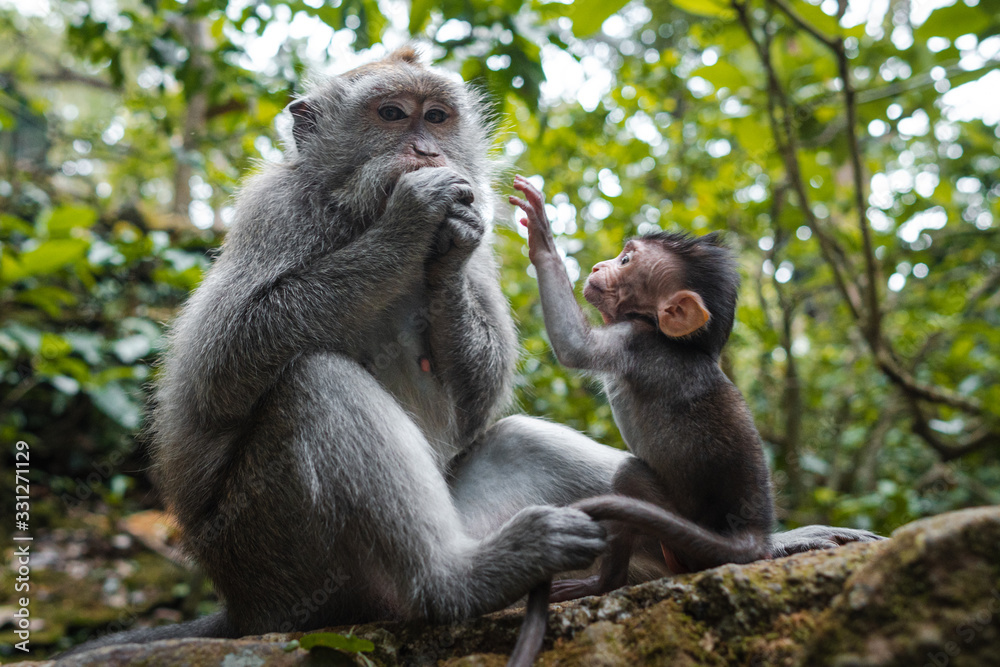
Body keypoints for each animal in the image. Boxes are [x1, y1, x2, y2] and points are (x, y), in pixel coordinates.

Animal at [508, 177, 772, 667]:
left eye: (627, 260)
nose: (598, 265)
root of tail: (753, 538)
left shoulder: (635, 343)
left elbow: (575, 346)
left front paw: (542, 238)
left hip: (684, 538)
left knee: (629, 478)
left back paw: (602, 583)